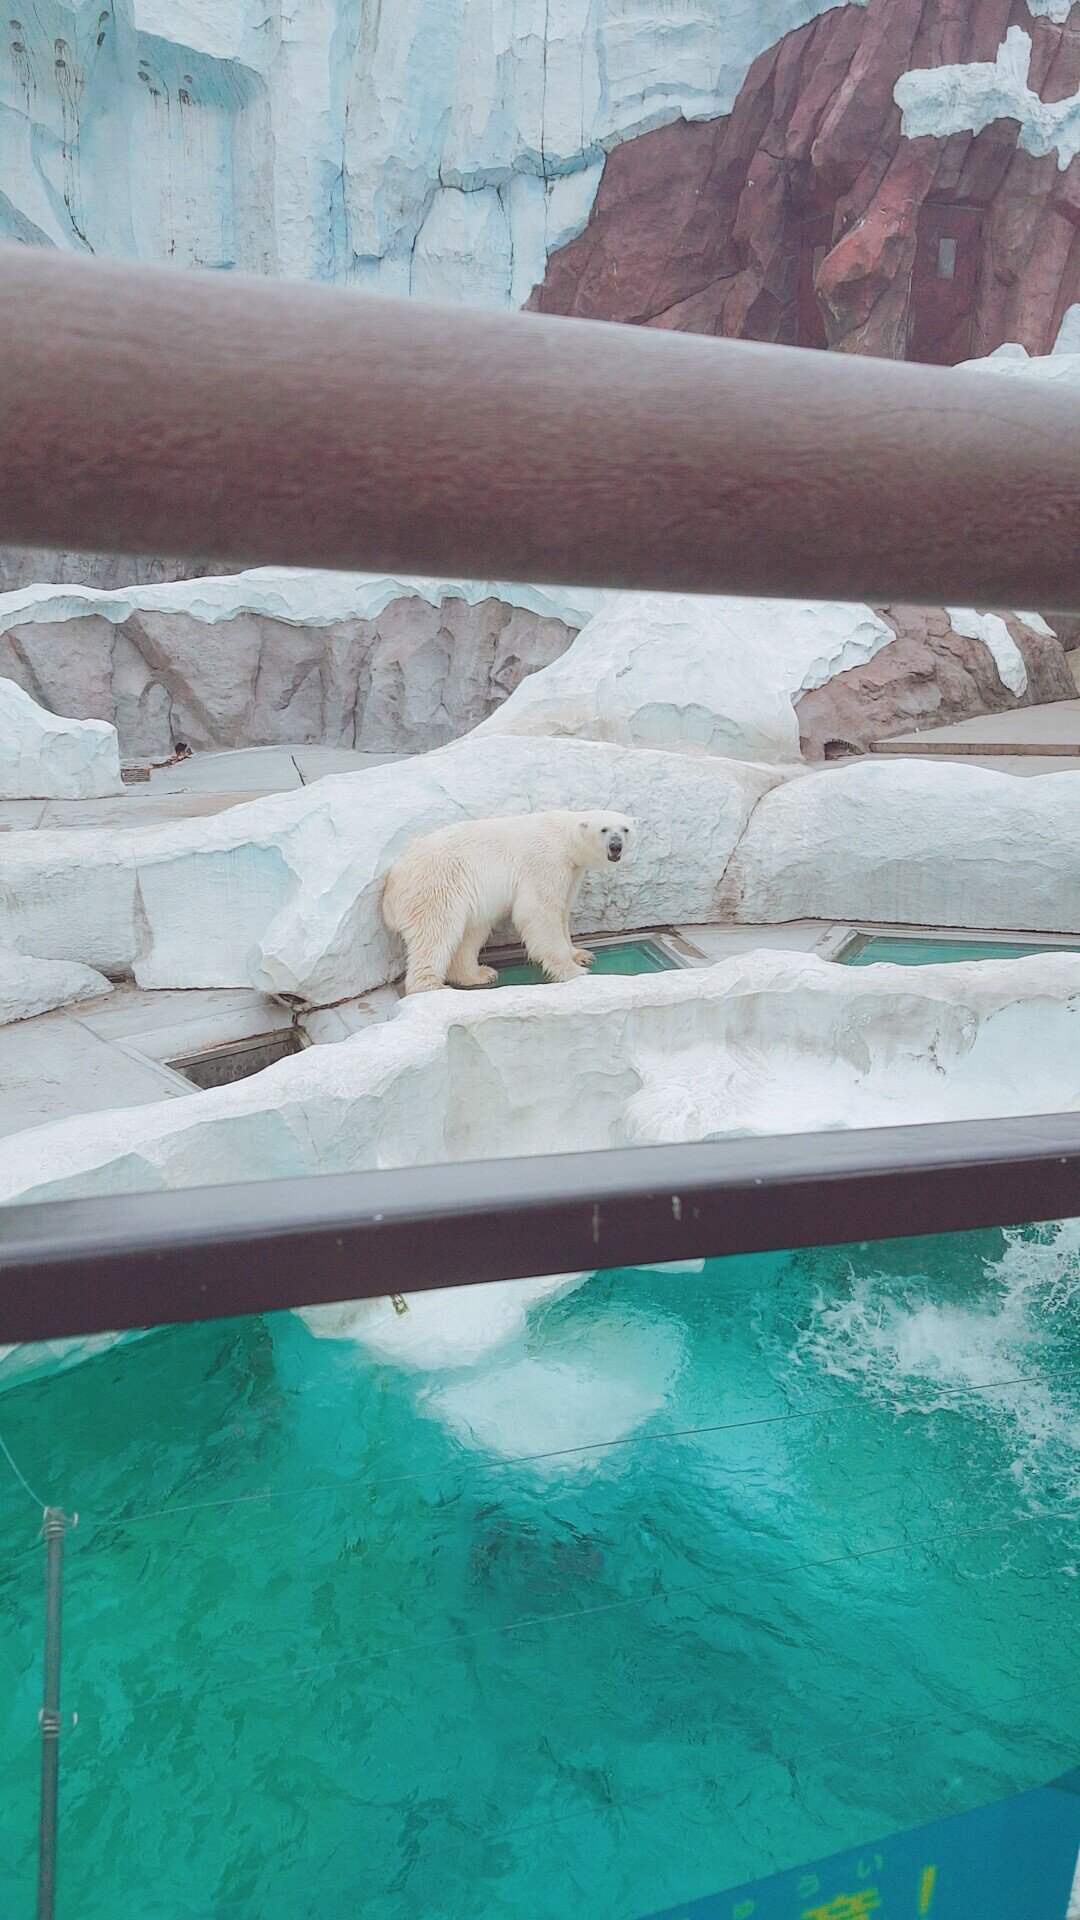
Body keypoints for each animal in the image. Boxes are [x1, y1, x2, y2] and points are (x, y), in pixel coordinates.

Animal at [382, 806, 630, 990]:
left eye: (625, 829)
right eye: (604, 829)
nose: (616, 846)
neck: (564, 835)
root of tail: (390, 891)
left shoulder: (572, 871)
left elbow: (562, 912)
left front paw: (581, 955)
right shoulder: (546, 861)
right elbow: (540, 912)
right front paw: (573, 970)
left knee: (471, 933)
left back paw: (480, 973)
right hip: (435, 888)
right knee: (436, 933)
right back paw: (433, 986)